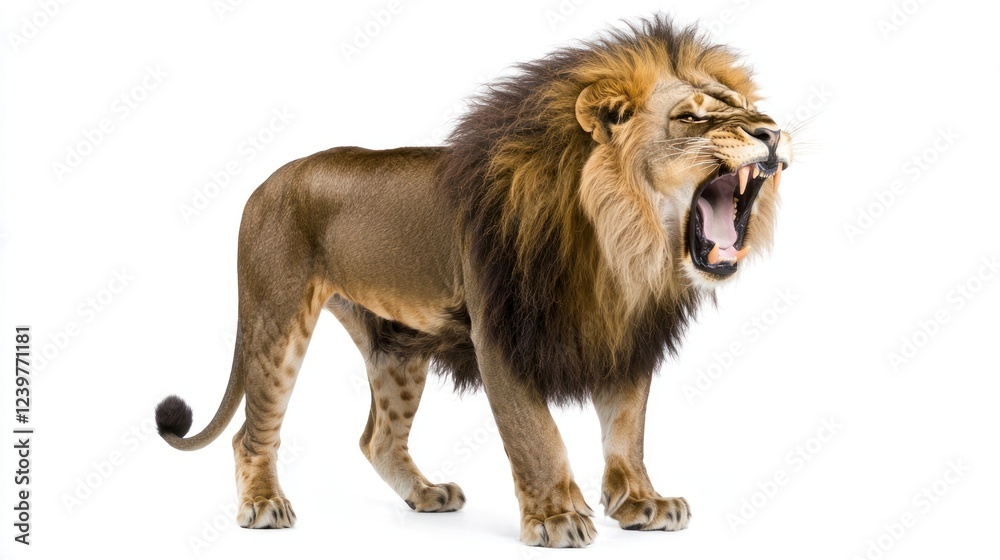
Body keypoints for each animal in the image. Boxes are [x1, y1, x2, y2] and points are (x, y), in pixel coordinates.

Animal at [155, 16, 792, 547]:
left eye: (747, 108)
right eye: (693, 116)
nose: (774, 132)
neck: (622, 247)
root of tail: (266, 182)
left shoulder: (623, 336)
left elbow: (626, 428)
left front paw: (641, 503)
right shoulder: (499, 332)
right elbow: (536, 434)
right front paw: (557, 517)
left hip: (397, 347)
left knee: (378, 439)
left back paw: (426, 494)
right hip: (277, 318)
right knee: (251, 431)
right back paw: (264, 505)